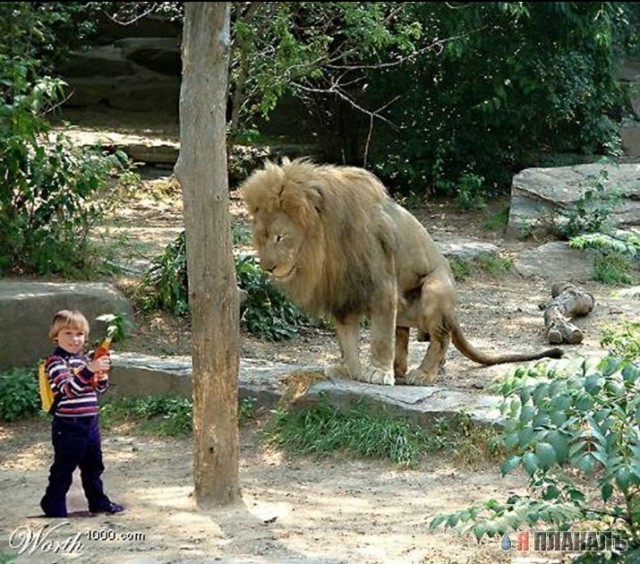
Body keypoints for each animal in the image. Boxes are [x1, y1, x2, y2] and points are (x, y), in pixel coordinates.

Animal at [241, 160, 564, 388]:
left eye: (281, 237)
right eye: (260, 237)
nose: (267, 267)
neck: (325, 248)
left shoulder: (381, 286)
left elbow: (380, 337)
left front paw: (377, 374)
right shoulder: (343, 293)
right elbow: (347, 339)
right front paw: (351, 370)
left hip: (435, 289)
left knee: (440, 337)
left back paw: (423, 374)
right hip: (406, 309)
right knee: (403, 335)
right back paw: (400, 370)